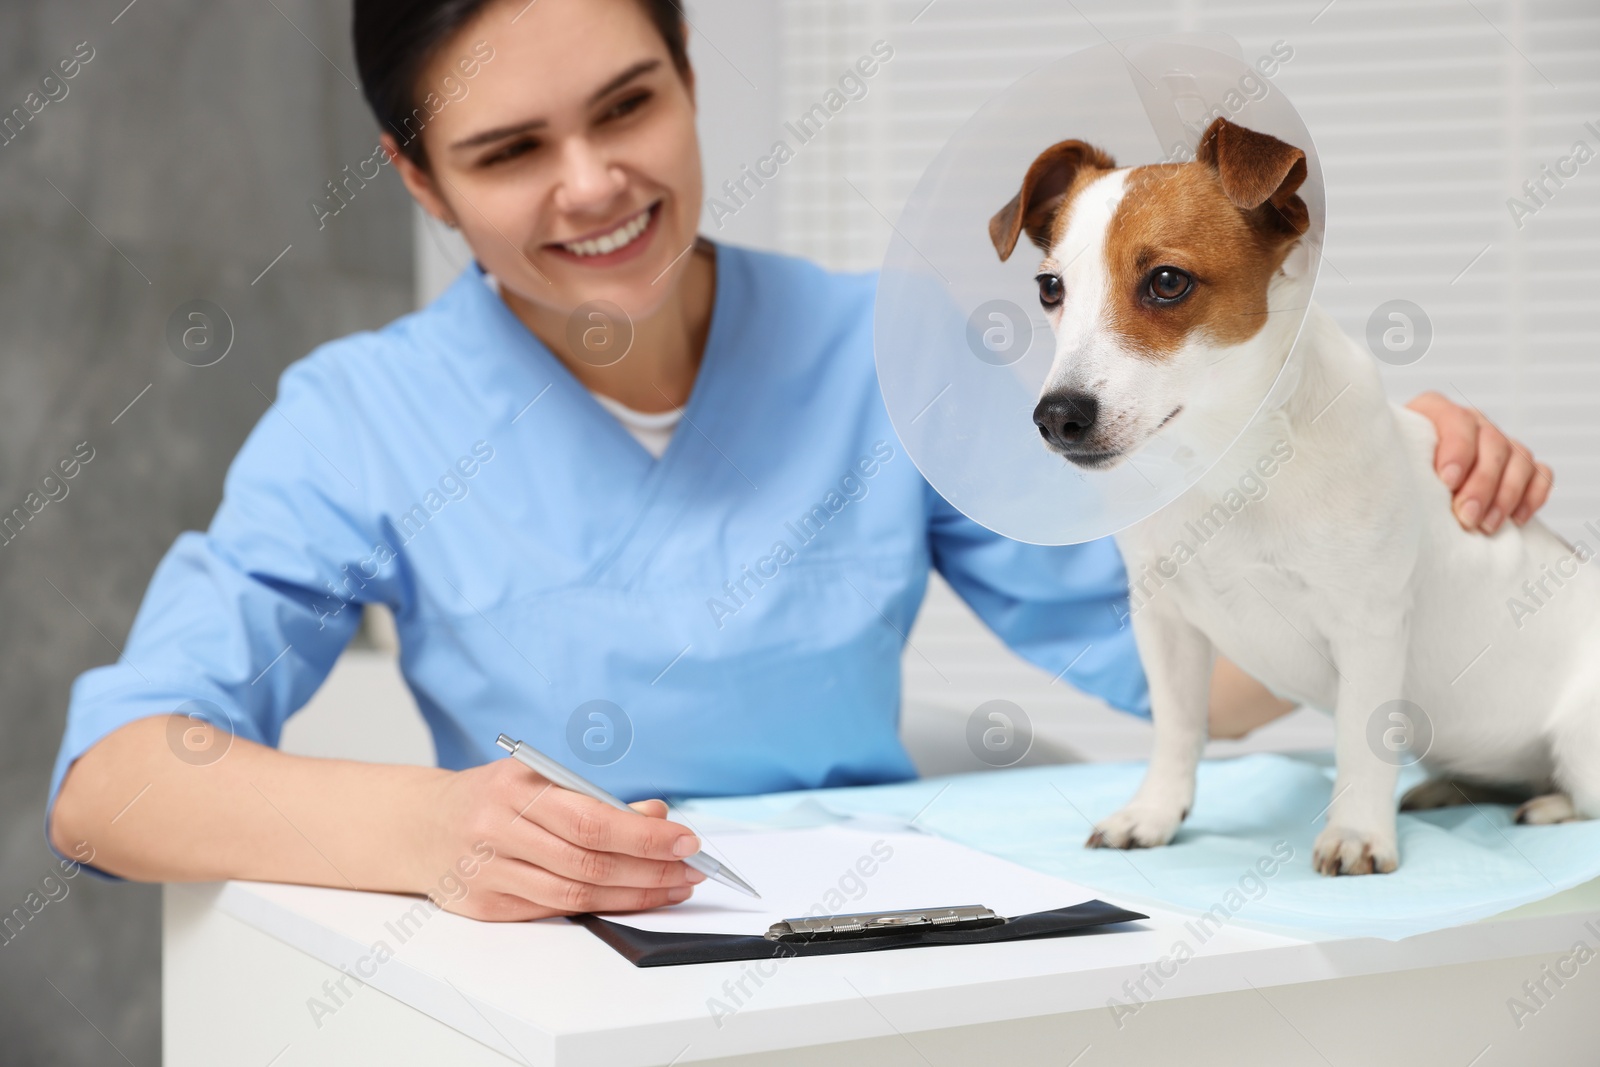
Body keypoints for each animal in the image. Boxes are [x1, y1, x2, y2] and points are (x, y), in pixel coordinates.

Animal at [985, 116, 1600, 876]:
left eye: (1167, 281)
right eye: (1050, 287)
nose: (1057, 416)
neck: (1227, 460)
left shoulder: (1369, 627)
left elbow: (1361, 742)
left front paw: (1358, 832)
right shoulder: (1168, 626)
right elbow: (1177, 728)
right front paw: (1154, 812)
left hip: (1581, 742)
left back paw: (1545, 805)